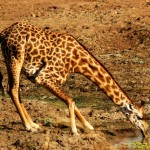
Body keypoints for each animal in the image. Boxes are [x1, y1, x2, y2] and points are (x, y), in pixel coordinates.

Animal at [0, 22, 149, 139]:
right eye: (140, 117)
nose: (146, 131)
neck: (77, 62)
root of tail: (3, 33)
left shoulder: (40, 77)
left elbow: (72, 102)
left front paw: (88, 126)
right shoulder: (43, 77)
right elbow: (71, 100)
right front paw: (74, 131)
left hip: (12, 61)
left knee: (14, 90)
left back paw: (33, 124)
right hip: (16, 58)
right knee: (12, 89)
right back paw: (28, 127)